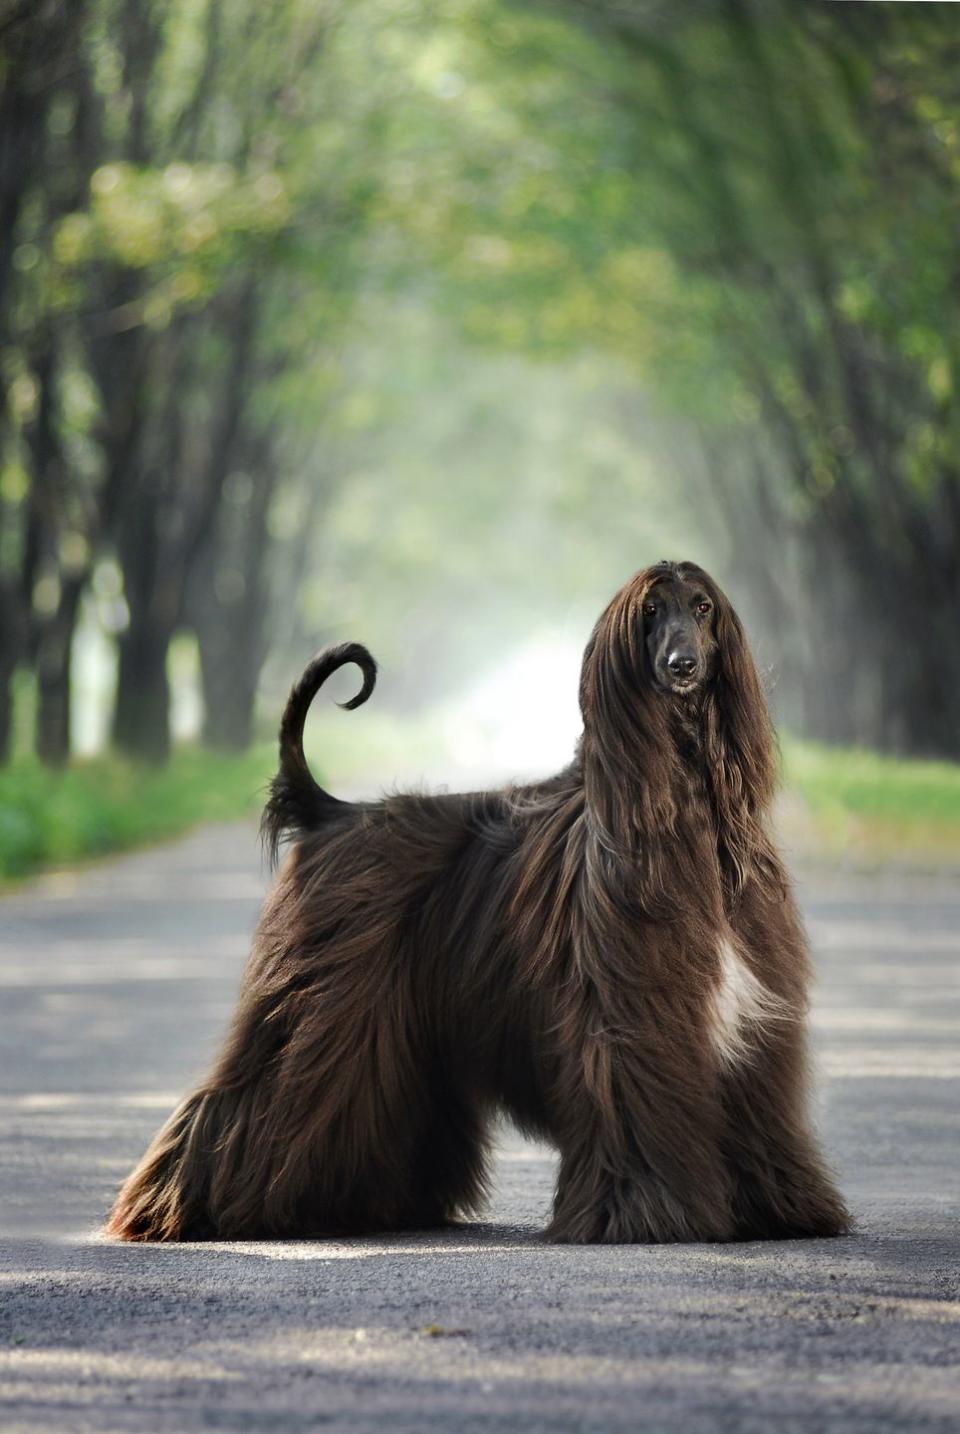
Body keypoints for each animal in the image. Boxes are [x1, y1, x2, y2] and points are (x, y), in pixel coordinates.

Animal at [108, 559, 849, 1244]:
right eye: (649, 612)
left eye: (702, 607)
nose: (683, 664)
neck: (684, 809)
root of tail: (332, 813)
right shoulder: (633, 1016)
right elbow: (637, 1108)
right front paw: (645, 1214)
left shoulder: (750, 1028)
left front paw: (777, 1207)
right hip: (317, 1001)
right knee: (245, 1097)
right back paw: (176, 1209)